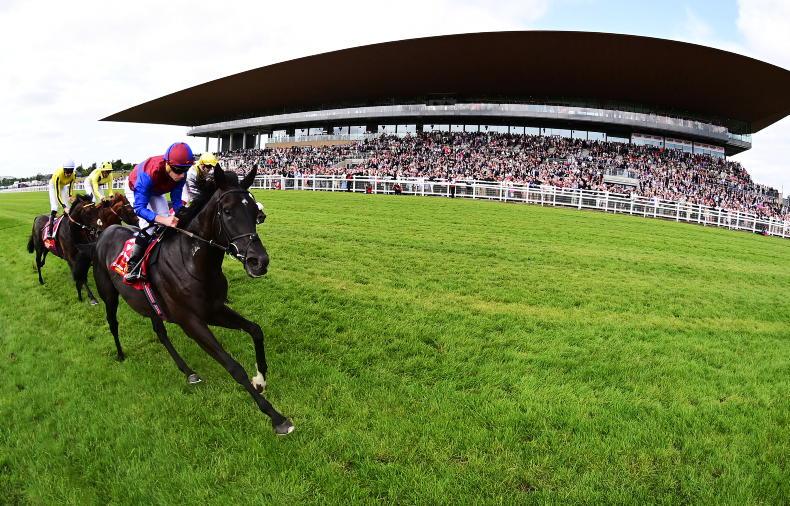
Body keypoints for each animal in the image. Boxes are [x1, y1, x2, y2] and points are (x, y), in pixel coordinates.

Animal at [90, 165, 294, 435]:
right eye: (227, 211)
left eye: (255, 211)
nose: (258, 261)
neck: (192, 261)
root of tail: (106, 231)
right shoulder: (191, 321)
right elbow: (234, 367)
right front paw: (276, 417)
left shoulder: (213, 310)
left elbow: (255, 330)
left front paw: (260, 380)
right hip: (109, 294)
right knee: (113, 322)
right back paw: (121, 354)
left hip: (150, 304)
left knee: (160, 333)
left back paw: (188, 372)